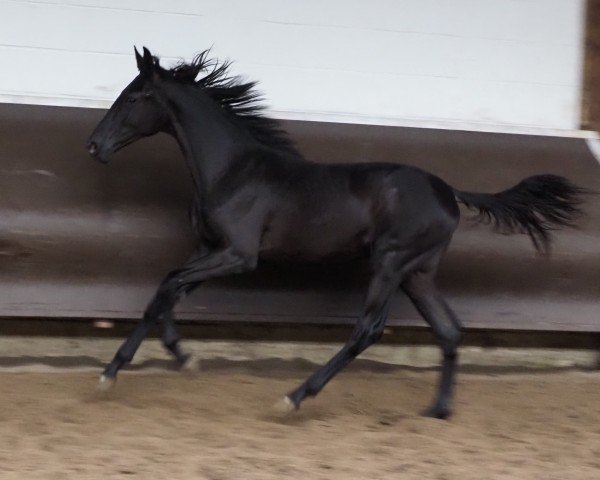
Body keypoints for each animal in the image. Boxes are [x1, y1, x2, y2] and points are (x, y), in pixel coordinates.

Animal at [86, 47, 584, 418]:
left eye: (133, 97)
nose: (93, 145)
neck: (233, 169)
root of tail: (448, 191)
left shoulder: (238, 254)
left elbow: (169, 283)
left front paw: (116, 371)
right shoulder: (209, 247)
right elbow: (166, 289)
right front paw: (181, 357)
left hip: (391, 262)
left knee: (369, 329)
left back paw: (294, 397)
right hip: (418, 273)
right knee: (449, 329)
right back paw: (438, 410)